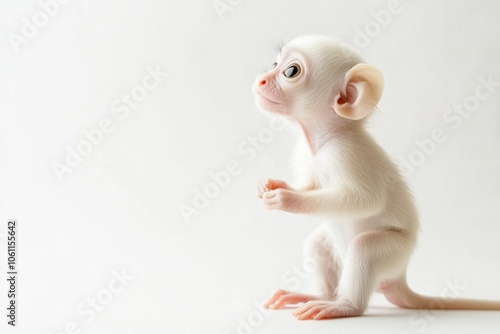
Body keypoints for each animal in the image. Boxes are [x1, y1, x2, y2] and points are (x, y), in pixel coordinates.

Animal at [254, 35, 500, 320]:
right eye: (274, 63)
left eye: (291, 71)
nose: (261, 79)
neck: (322, 139)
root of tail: (398, 278)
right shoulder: (305, 153)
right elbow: (309, 186)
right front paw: (274, 186)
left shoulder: (345, 153)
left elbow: (365, 200)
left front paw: (286, 199)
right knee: (318, 244)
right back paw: (316, 296)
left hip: (394, 252)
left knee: (364, 247)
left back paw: (344, 306)